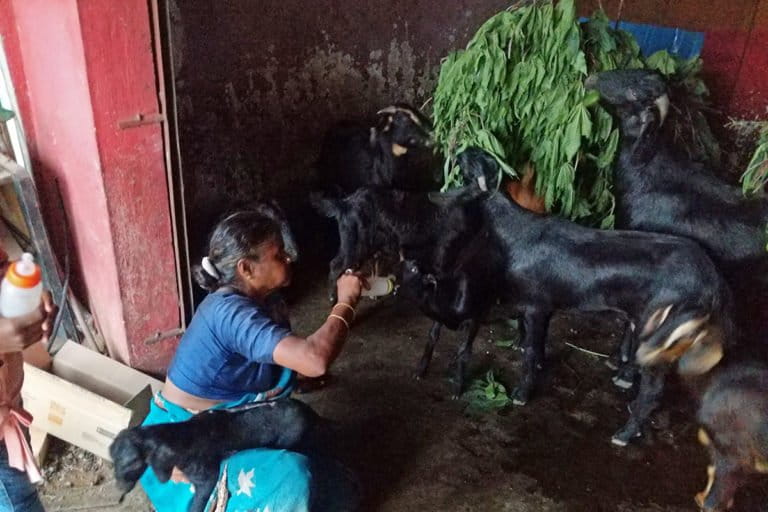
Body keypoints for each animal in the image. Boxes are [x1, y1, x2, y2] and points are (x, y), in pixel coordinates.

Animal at [109, 400, 316, 512]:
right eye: (114, 462)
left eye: (133, 464)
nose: (119, 488)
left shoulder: (207, 476)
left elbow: (198, 501)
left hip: (290, 438)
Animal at [436, 148, 736, 444]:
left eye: (469, 161)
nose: (458, 150)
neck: (515, 230)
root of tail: (714, 285)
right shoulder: (543, 305)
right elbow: (538, 343)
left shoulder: (536, 304)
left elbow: (531, 350)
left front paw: (521, 394)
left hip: (663, 333)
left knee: (653, 389)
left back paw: (624, 433)